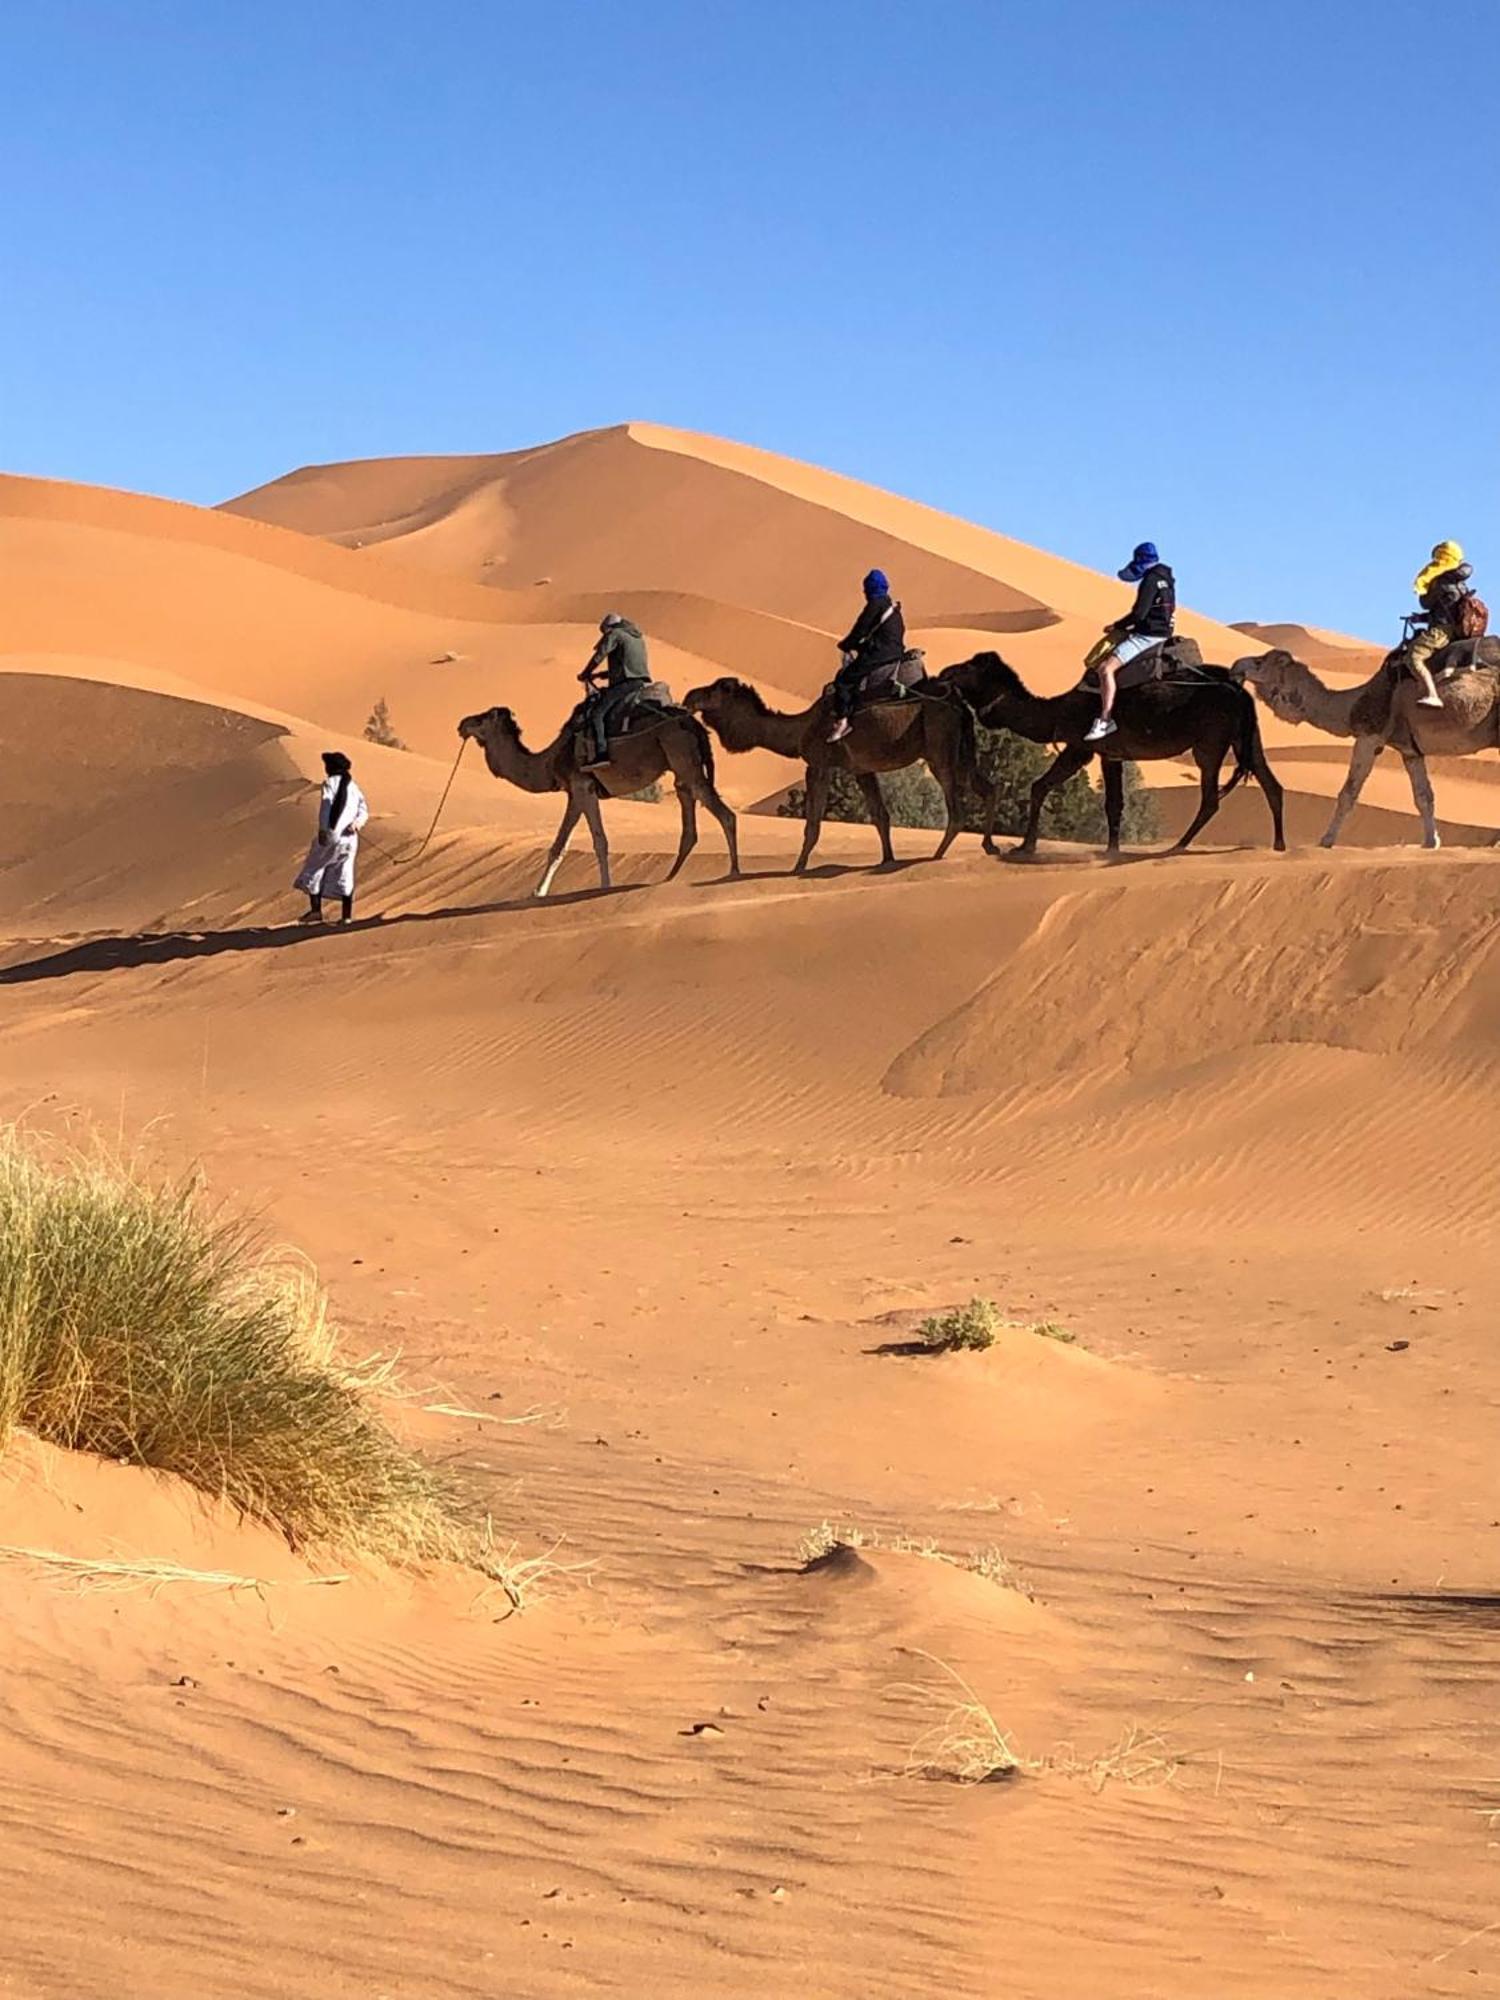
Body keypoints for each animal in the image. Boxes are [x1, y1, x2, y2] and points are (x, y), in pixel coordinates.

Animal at [458, 700, 740, 896]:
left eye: (482, 719)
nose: (462, 724)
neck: (550, 761)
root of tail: (696, 725)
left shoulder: (584, 786)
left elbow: (600, 841)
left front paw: (604, 886)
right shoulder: (574, 793)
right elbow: (558, 846)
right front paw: (537, 892)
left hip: (682, 755)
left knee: (724, 814)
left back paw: (734, 871)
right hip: (680, 766)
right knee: (689, 818)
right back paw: (668, 878)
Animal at [684, 680, 988, 868]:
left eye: (714, 689)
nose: (690, 696)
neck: (800, 730)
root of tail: (960, 703)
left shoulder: (819, 764)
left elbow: (812, 825)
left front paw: (797, 868)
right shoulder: (862, 770)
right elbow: (881, 817)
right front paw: (887, 860)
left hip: (940, 751)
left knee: (957, 810)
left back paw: (935, 857)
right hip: (963, 751)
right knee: (987, 786)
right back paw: (987, 847)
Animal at [940, 648, 1296, 852]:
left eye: (968, 667)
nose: (944, 672)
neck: (1057, 711)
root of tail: (1240, 691)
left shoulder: (1082, 747)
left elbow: (1039, 786)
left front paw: (1025, 847)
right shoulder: (1111, 754)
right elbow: (1114, 804)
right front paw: (1112, 849)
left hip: (1210, 741)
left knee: (1211, 798)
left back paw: (1178, 846)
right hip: (1246, 736)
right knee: (1270, 783)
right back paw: (1279, 844)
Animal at [1232, 644, 1500, 848]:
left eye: (1259, 662)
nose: (1236, 666)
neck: (1353, 705)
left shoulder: (1369, 736)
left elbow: (1348, 793)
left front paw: (1326, 841)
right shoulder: (1410, 751)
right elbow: (1423, 797)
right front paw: (1430, 842)